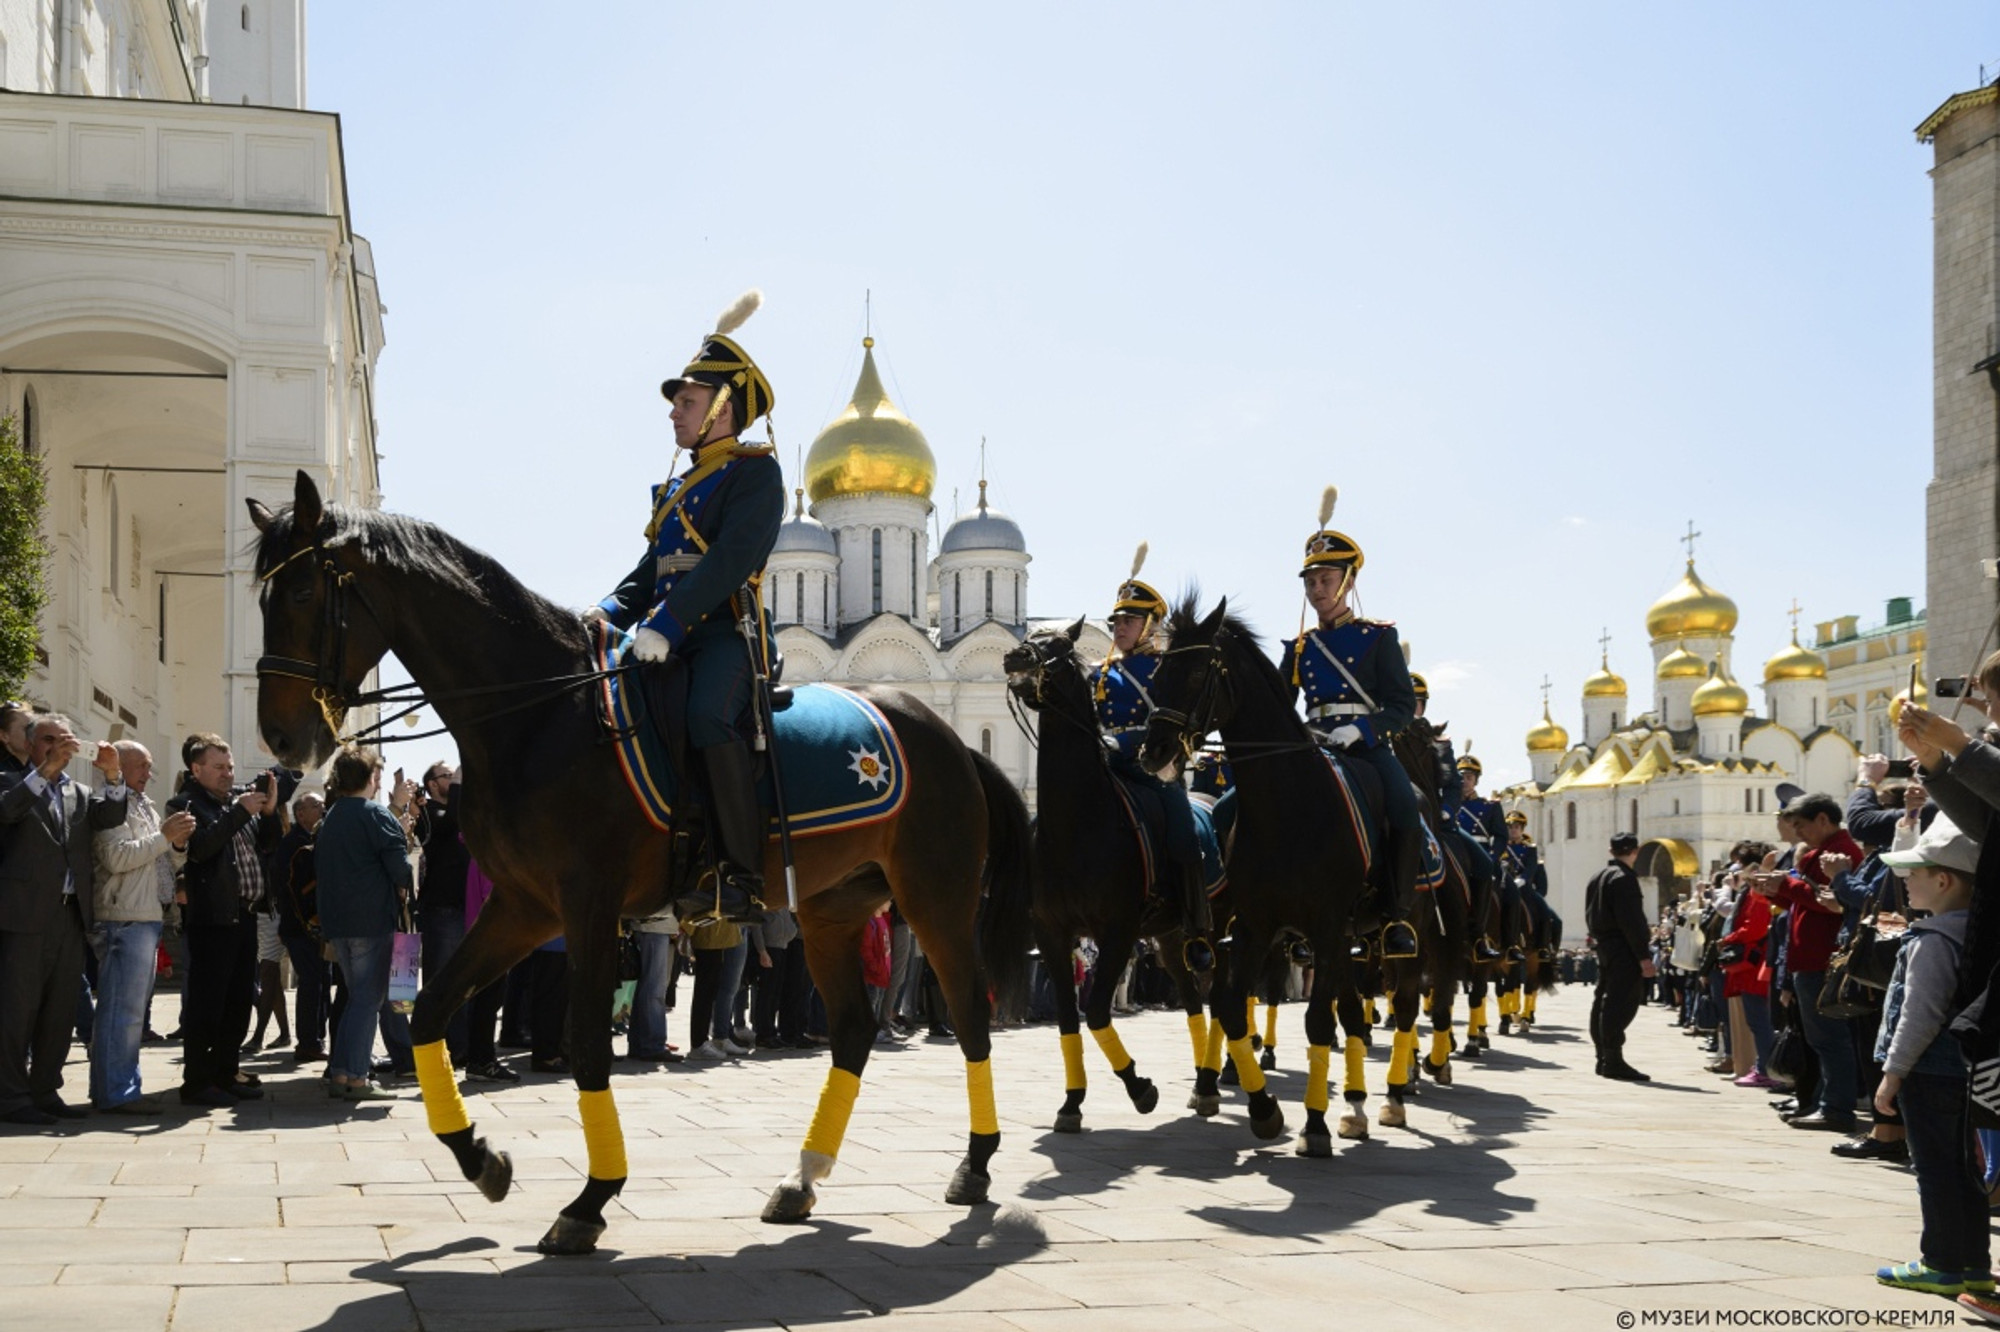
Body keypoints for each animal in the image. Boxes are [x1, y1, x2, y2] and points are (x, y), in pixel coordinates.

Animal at [246, 472, 1032, 1248]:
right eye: (262, 597)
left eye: (303, 592)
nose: (281, 739)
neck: (543, 715)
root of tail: (949, 738)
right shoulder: (525, 907)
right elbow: (433, 1012)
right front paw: (481, 1159)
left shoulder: (586, 903)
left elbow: (587, 1044)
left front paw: (590, 1199)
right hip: (831, 912)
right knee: (854, 1031)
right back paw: (801, 1179)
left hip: (936, 897)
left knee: (969, 1012)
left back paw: (974, 1166)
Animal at [1008, 616, 1208, 1128]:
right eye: (1032, 639)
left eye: (1059, 645)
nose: (1015, 657)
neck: (1076, 822)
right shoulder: (1053, 932)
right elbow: (1068, 1018)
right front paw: (1071, 1103)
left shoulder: (1118, 930)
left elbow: (1097, 1012)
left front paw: (1141, 1089)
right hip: (1169, 936)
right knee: (1194, 998)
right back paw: (1207, 1082)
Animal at [1144, 596, 1376, 1160]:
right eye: (1158, 673)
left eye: (1197, 671)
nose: (1153, 751)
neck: (1289, 807)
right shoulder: (1249, 926)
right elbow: (1225, 1005)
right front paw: (1257, 1106)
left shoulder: (1325, 925)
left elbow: (1315, 1020)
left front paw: (1312, 1124)